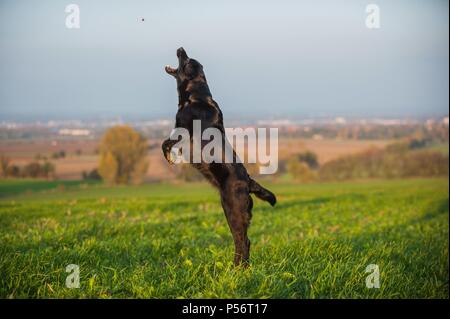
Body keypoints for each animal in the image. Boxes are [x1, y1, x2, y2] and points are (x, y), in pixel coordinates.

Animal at [162, 47, 274, 268]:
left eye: (186, 59)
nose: (180, 48)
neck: (195, 97)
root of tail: (249, 182)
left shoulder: (181, 130)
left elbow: (165, 143)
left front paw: (169, 157)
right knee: (244, 241)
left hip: (232, 210)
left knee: (242, 241)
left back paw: (237, 269)